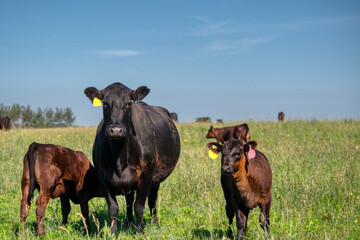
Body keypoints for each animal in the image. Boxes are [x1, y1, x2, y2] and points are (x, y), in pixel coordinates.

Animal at [83, 82, 180, 234]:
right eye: (105, 103)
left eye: (128, 103)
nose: (116, 130)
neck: (120, 158)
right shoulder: (102, 176)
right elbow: (113, 207)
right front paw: (113, 233)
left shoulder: (146, 175)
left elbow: (139, 206)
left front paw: (139, 232)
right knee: (129, 200)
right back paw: (129, 224)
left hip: (156, 178)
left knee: (152, 200)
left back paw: (154, 224)